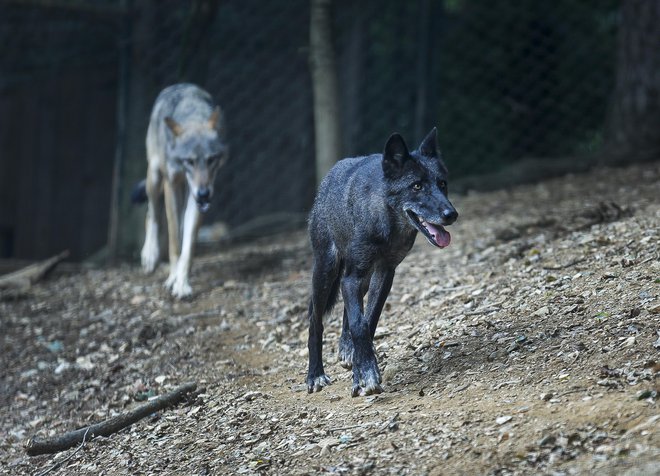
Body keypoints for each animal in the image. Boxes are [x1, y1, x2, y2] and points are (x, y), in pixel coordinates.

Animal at [133, 82, 228, 298]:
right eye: (189, 161)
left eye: (211, 160)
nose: (204, 194)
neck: (193, 116)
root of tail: (179, 84)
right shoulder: (171, 185)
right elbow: (174, 242)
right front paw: (172, 278)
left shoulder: (196, 199)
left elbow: (188, 245)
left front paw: (182, 283)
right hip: (155, 177)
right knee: (151, 213)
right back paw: (149, 255)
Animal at [306, 128, 456, 396]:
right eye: (416, 186)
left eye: (442, 184)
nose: (451, 214)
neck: (386, 224)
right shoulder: (353, 276)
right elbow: (359, 323)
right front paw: (367, 373)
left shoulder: (385, 273)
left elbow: (368, 319)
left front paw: (359, 370)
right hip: (326, 271)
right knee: (315, 320)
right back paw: (315, 375)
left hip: (361, 279)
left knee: (348, 310)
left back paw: (346, 350)